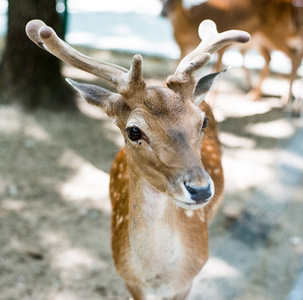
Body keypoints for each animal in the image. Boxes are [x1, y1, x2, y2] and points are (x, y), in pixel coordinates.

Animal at [25, 18, 249, 298]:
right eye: (134, 131)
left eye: (203, 122)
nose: (200, 189)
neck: (157, 277)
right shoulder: (129, 281)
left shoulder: (187, 281)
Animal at [162, 0, 303, 103]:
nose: (164, 13)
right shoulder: (181, 48)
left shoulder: (222, 48)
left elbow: (218, 68)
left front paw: (211, 101)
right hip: (262, 38)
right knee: (270, 58)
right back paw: (255, 94)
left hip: (275, 32)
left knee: (294, 53)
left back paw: (287, 100)